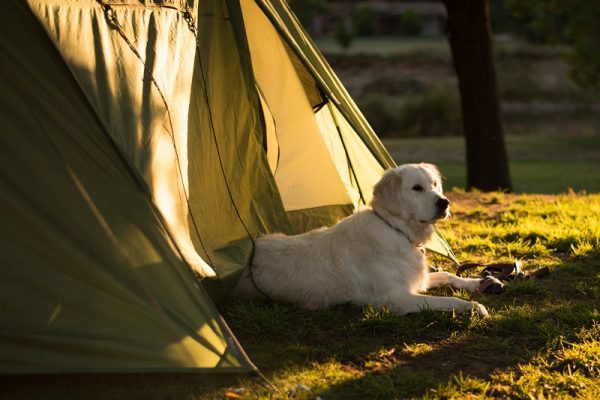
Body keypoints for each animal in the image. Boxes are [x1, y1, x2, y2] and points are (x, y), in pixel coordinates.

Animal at [232, 164, 490, 318]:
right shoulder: (396, 298)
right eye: (417, 188)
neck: (395, 229)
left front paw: (476, 282)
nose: (445, 202)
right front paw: (473, 306)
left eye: (435, 185)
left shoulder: (417, 281)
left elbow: (447, 274)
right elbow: (450, 299)